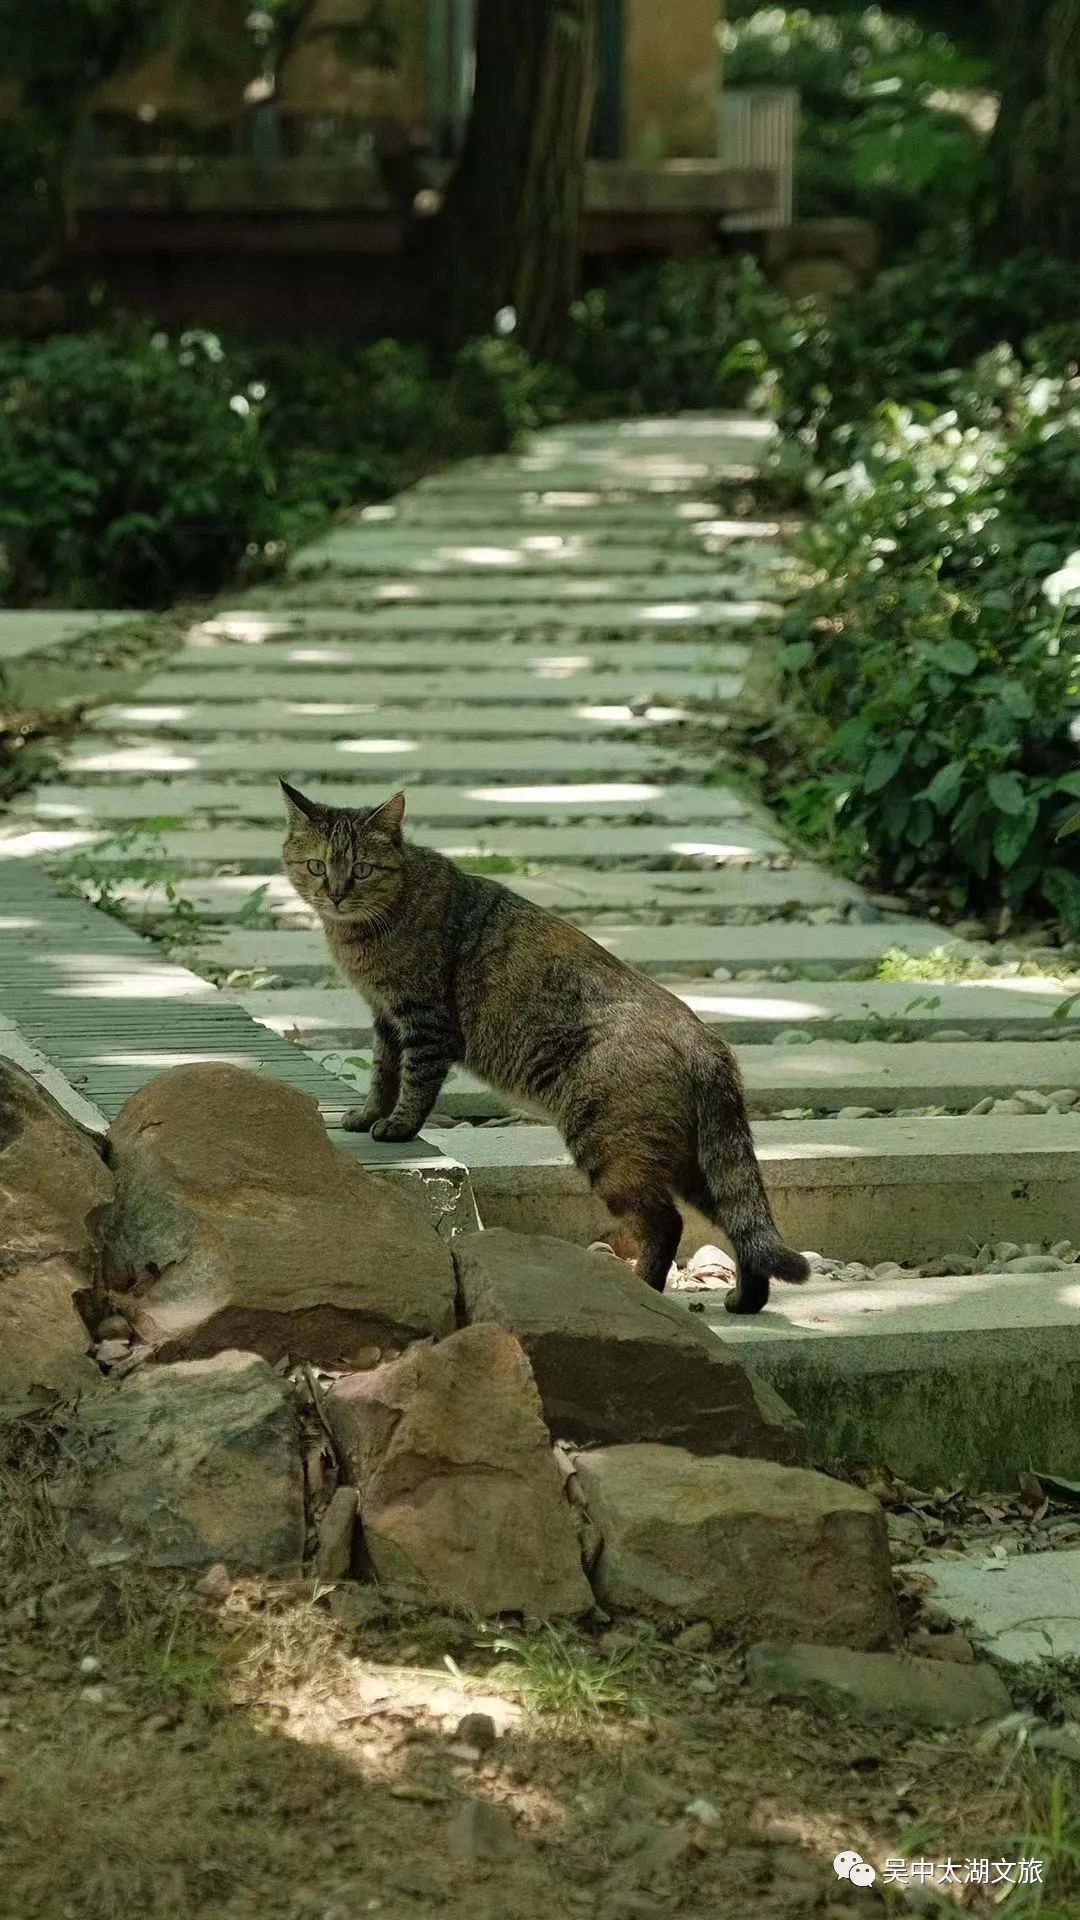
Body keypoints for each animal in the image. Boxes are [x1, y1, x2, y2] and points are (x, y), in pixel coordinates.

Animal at [282, 771, 803, 1313]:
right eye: (317, 865)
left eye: (361, 869)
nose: (335, 894)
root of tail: (704, 1038)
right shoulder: (386, 1018)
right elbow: (383, 1074)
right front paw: (367, 1115)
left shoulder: (424, 1021)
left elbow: (414, 1082)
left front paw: (399, 1126)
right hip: (697, 1165)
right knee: (742, 1226)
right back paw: (745, 1300)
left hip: (612, 1149)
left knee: (666, 1223)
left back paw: (646, 1288)